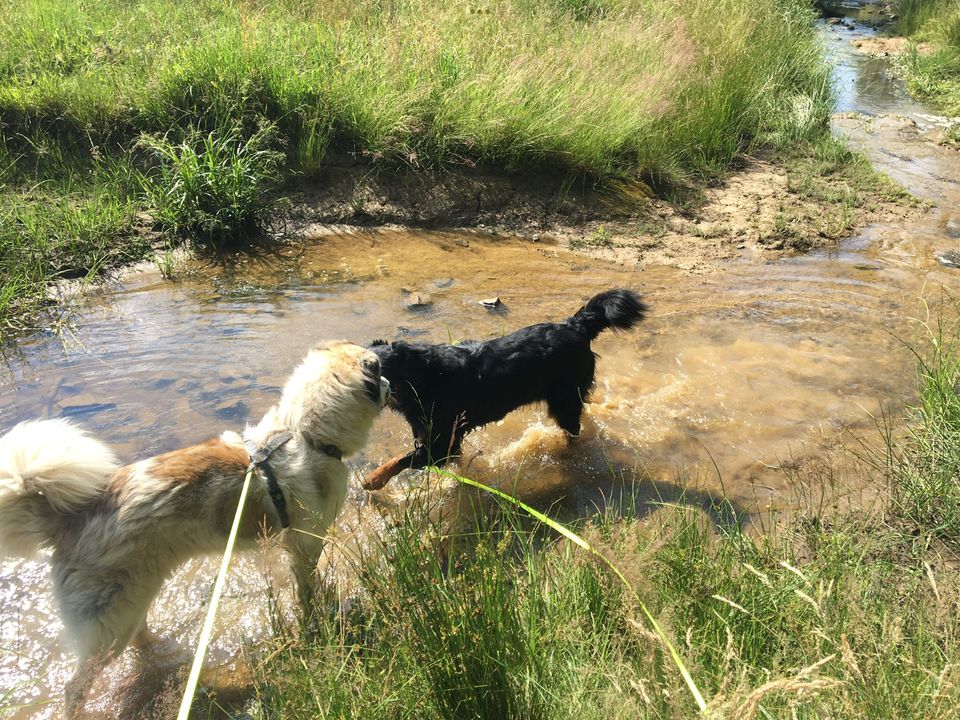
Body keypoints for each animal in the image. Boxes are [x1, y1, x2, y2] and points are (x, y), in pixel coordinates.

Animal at [0, 340, 390, 716]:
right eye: (380, 373)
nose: (389, 384)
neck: (304, 434)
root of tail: (70, 517)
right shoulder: (305, 544)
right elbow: (309, 588)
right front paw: (319, 616)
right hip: (108, 622)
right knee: (76, 685)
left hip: (131, 600)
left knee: (137, 637)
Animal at [364, 288, 648, 490]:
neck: (420, 380)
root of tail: (574, 325)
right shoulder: (441, 441)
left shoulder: (441, 444)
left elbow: (400, 459)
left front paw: (373, 479)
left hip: (564, 401)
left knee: (572, 429)